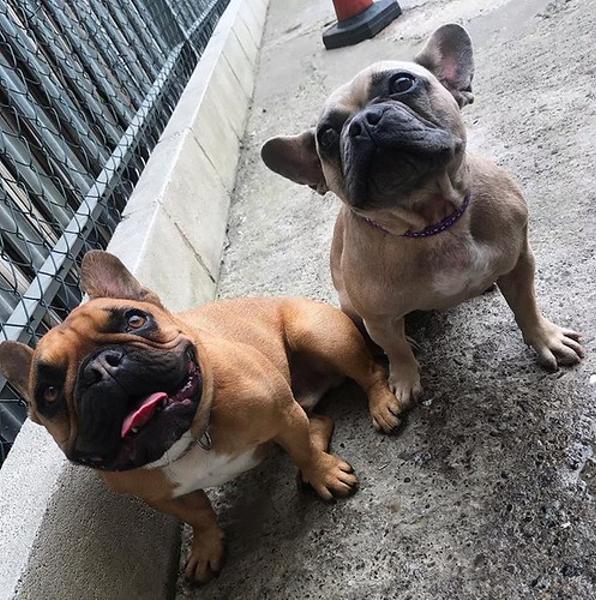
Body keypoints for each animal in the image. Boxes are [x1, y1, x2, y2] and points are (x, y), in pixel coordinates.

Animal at [0, 250, 399, 583]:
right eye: (49, 393)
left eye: (135, 320)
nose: (101, 366)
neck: (190, 437)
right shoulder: (163, 496)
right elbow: (199, 514)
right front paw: (207, 547)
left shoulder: (283, 414)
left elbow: (304, 453)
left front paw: (324, 474)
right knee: (318, 421)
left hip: (319, 335)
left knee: (370, 373)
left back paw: (381, 406)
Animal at [261, 23, 583, 422]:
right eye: (327, 136)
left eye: (402, 83)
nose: (363, 123)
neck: (433, 220)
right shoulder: (378, 316)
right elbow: (395, 348)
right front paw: (404, 378)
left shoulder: (520, 262)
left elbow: (526, 307)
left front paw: (545, 339)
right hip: (350, 307)